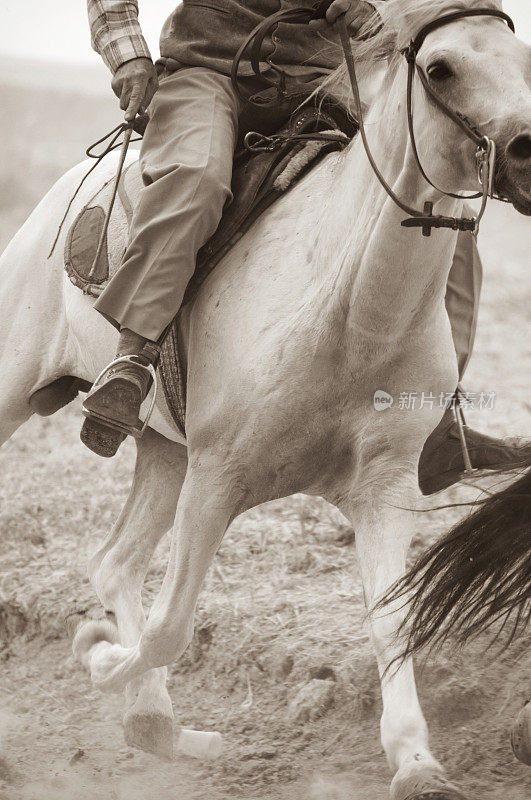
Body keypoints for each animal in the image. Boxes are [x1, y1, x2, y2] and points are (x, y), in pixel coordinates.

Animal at [0, 0, 528, 796]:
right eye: (440, 68)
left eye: (523, 59)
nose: (527, 152)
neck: (350, 310)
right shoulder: (217, 480)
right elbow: (171, 626)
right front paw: (97, 653)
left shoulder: (382, 489)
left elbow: (393, 621)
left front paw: (415, 760)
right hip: (28, 399)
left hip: (165, 453)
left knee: (116, 561)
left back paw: (160, 725)